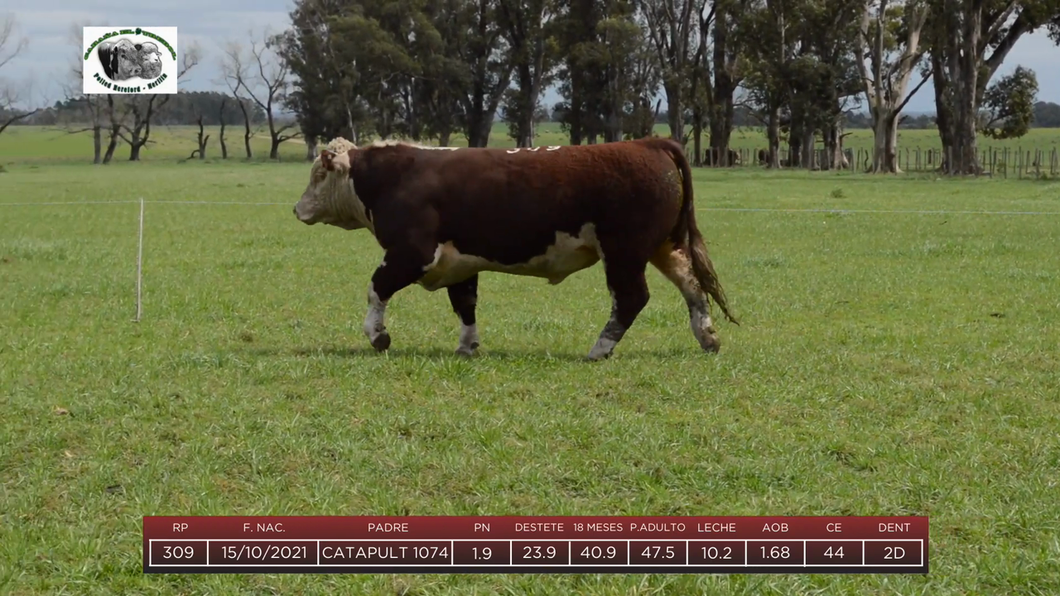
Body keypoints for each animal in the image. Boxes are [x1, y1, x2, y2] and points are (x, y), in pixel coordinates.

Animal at [292, 135, 737, 356]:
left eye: (318, 174)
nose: (297, 209)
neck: (396, 177)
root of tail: (647, 142)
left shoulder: (411, 254)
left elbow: (376, 290)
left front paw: (377, 336)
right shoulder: (460, 261)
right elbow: (465, 304)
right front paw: (467, 346)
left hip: (624, 253)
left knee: (631, 299)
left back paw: (599, 348)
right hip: (663, 245)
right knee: (692, 286)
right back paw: (707, 338)